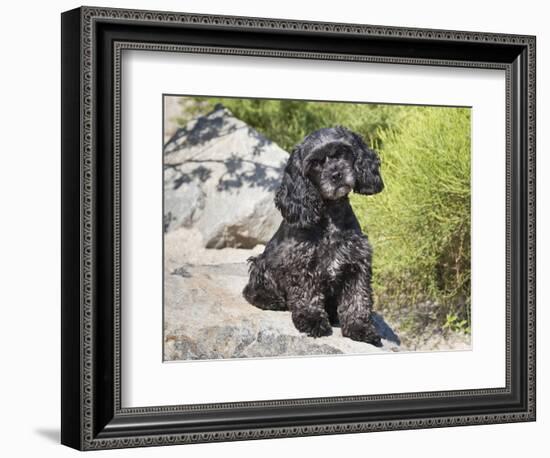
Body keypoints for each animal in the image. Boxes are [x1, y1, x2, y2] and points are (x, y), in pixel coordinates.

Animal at [244, 127, 386, 346]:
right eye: (315, 163)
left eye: (342, 152)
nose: (336, 174)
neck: (331, 217)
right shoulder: (302, 263)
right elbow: (307, 295)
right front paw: (312, 320)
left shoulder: (357, 264)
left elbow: (357, 299)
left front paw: (360, 328)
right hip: (261, 263)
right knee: (252, 291)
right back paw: (272, 300)